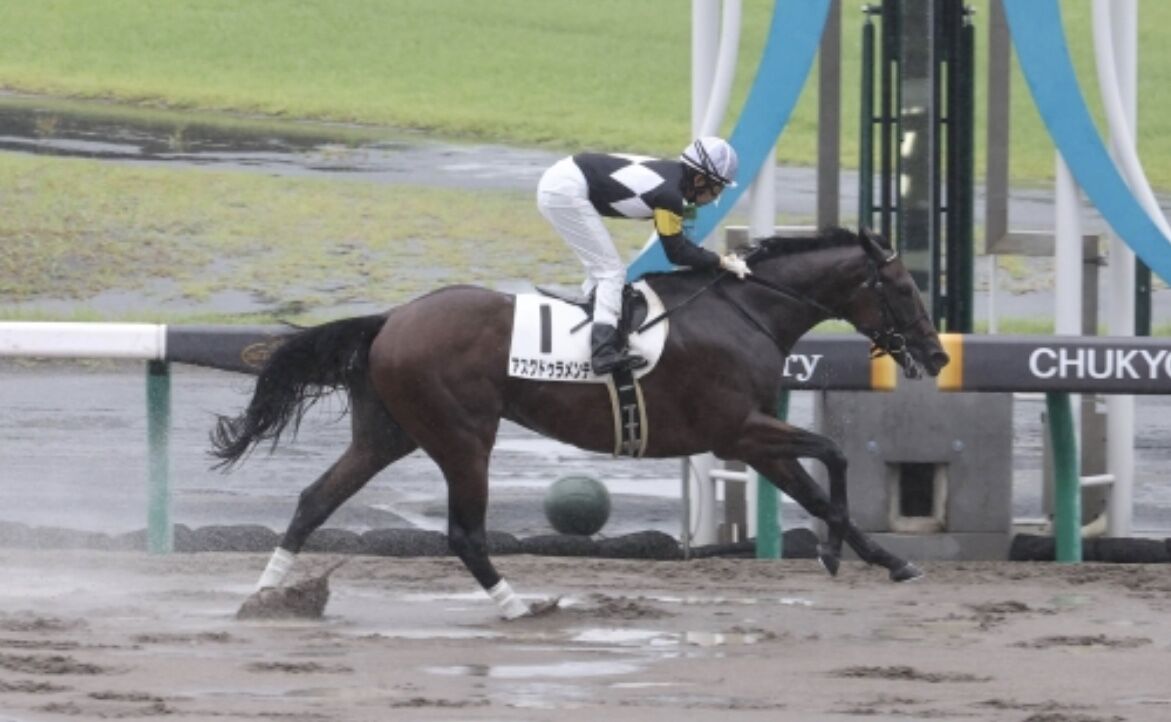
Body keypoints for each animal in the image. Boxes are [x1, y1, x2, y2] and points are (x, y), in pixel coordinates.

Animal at [211, 226, 950, 619]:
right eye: (903, 287)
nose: (939, 354)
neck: (745, 313)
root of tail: (390, 318)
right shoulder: (736, 430)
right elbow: (835, 454)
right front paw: (834, 552)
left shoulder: (754, 438)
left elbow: (821, 490)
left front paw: (885, 560)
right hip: (463, 436)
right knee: (464, 533)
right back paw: (518, 607)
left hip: (388, 433)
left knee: (315, 499)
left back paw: (266, 595)